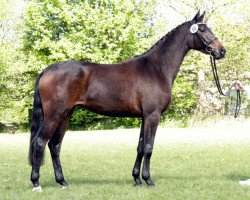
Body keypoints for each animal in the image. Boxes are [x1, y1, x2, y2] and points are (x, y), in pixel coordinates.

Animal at [29, 10, 227, 191]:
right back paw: (36, 183)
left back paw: (62, 182)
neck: (156, 68)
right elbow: (148, 147)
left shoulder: (144, 117)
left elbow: (140, 147)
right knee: (39, 142)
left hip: (66, 115)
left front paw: (137, 179)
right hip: (54, 115)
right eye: (202, 29)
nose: (222, 51)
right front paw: (148, 180)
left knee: (54, 146)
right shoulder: (153, 115)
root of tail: (47, 70)